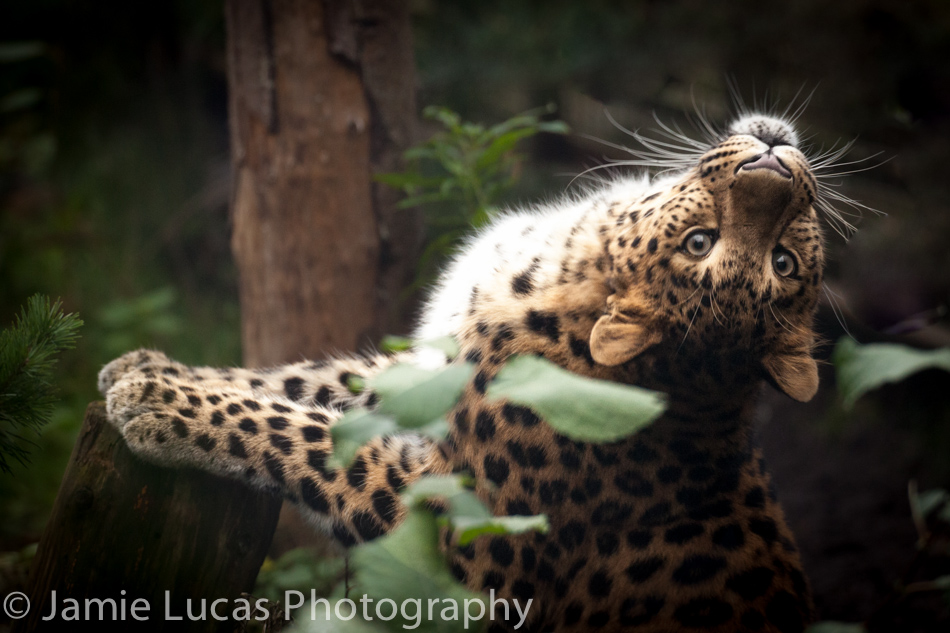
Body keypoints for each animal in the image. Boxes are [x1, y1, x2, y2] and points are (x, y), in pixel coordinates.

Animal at [99, 111, 846, 632]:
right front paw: (146, 367)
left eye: (781, 261)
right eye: (701, 242)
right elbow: (305, 383)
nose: (775, 161)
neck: (571, 263)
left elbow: (311, 437)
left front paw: (159, 403)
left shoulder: (472, 544)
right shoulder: (432, 371)